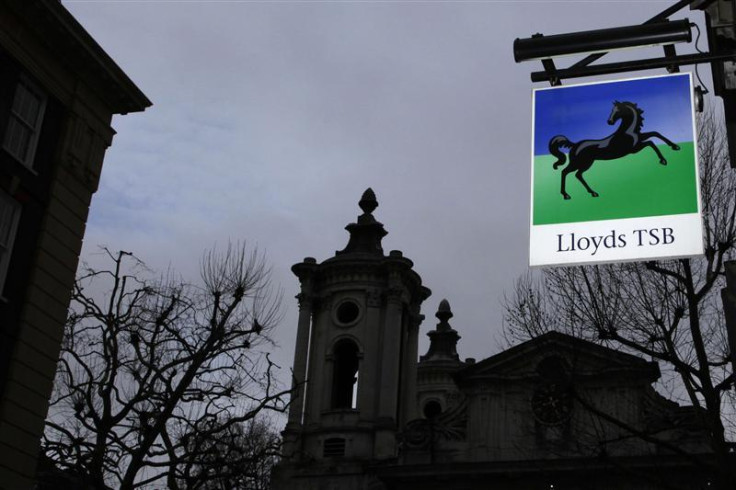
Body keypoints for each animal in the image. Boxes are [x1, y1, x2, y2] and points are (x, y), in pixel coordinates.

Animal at [548, 100, 680, 200]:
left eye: (618, 110)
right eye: (613, 110)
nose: (609, 121)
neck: (627, 131)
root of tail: (574, 145)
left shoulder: (639, 139)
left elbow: (655, 133)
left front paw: (675, 147)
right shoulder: (634, 149)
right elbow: (651, 143)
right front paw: (663, 160)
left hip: (584, 163)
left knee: (577, 175)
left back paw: (592, 193)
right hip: (581, 163)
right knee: (566, 172)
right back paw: (567, 195)